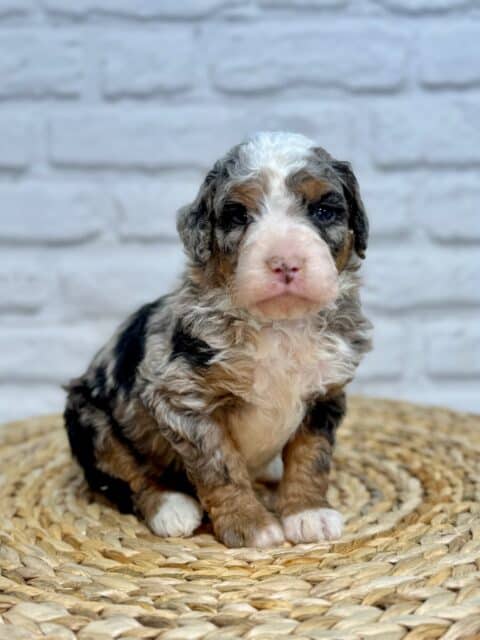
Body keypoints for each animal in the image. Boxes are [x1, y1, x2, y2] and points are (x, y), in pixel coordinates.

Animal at [63, 132, 372, 548]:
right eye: (238, 216)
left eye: (323, 210)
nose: (284, 262)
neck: (279, 325)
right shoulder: (182, 397)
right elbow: (220, 466)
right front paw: (251, 524)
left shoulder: (325, 393)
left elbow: (312, 455)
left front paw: (308, 513)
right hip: (90, 420)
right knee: (127, 476)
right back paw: (170, 508)